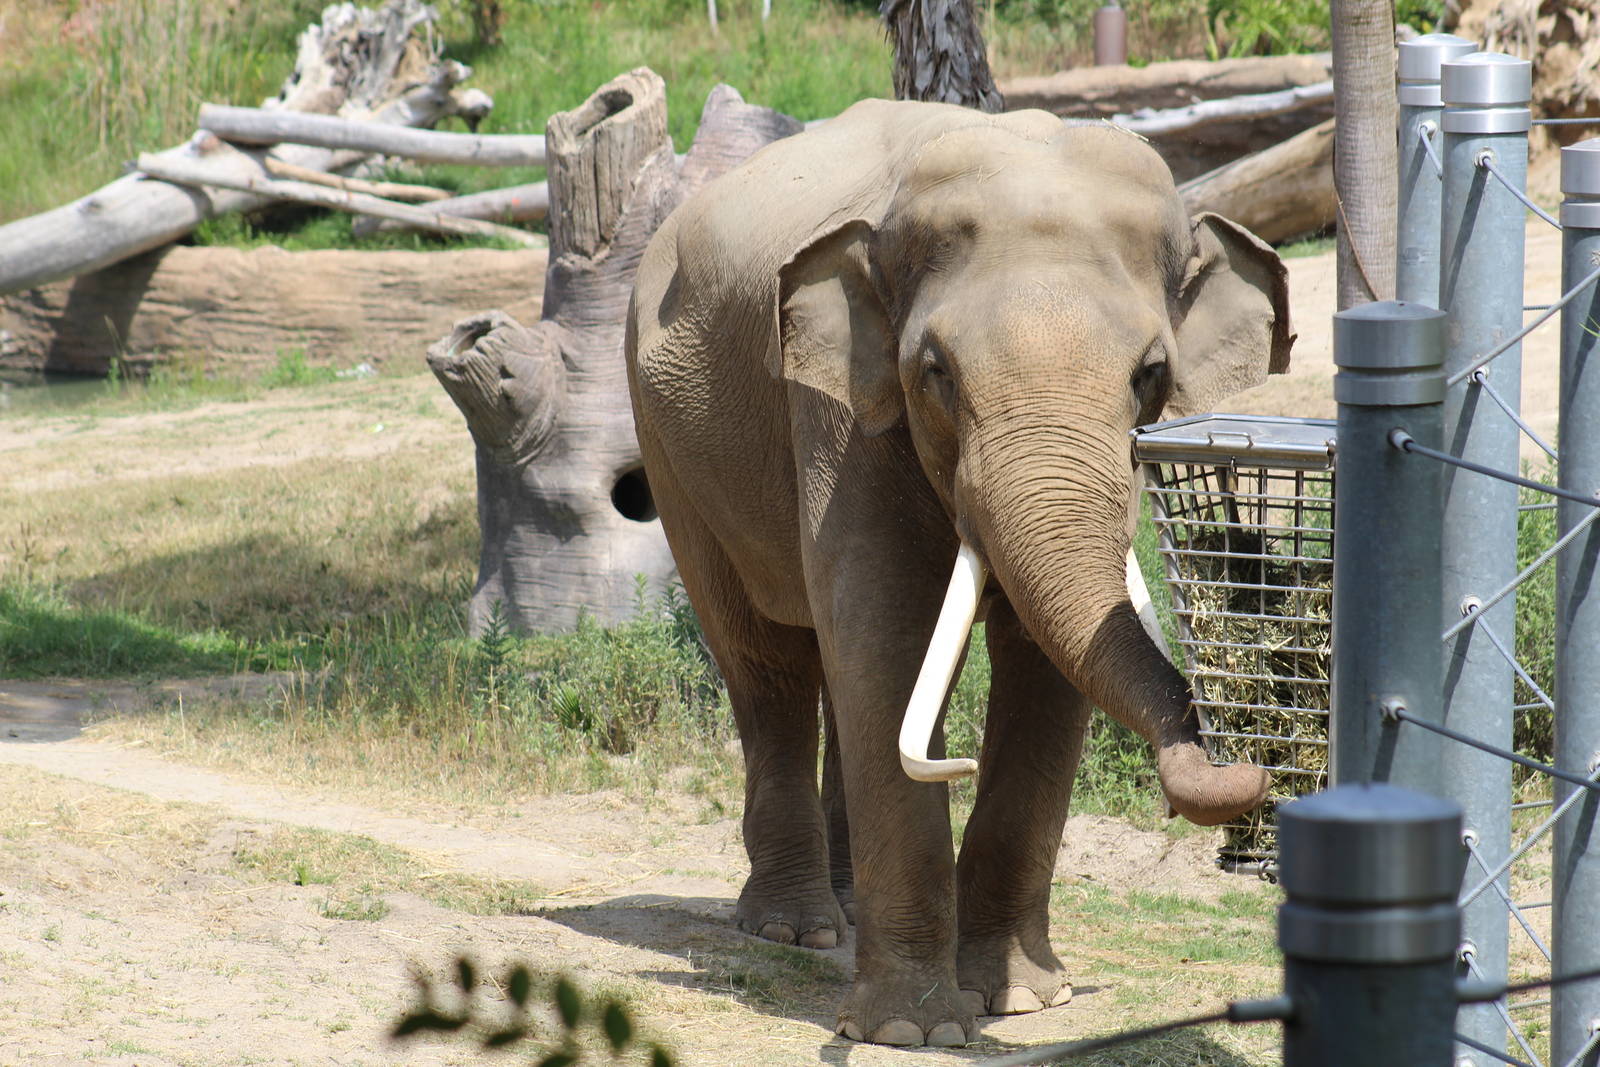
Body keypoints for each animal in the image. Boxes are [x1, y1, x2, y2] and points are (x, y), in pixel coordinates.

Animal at [624, 99, 1291, 1048]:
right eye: (935, 371)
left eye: (1152, 373)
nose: (1251, 770)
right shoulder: (839, 417)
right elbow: (888, 632)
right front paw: (914, 1031)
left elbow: (1043, 666)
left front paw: (1021, 999)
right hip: (669, 445)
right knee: (767, 661)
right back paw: (795, 927)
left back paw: (845, 912)